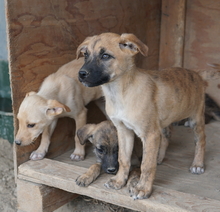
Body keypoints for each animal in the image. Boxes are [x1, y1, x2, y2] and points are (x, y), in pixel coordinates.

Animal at [75, 32, 218, 199]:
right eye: (85, 55)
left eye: (105, 56)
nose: (81, 74)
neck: (120, 93)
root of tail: (195, 73)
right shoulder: (124, 131)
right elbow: (123, 159)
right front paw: (119, 181)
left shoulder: (149, 134)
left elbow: (146, 165)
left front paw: (143, 188)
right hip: (162, 122)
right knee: (167, 135)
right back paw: (159, 157)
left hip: (196, 117)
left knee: (201, 140)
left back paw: (197, 164)